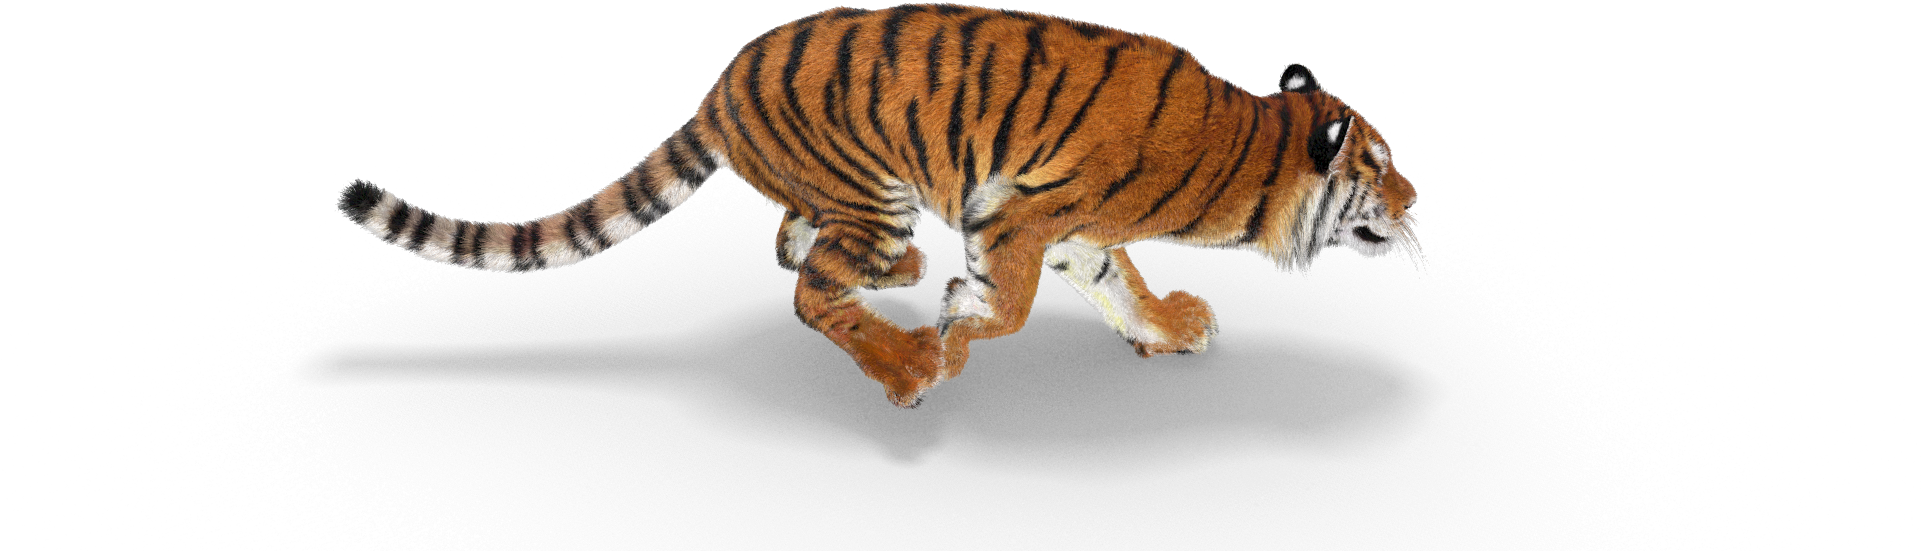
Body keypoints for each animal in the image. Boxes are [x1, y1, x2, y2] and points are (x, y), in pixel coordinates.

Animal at [336, 3, 1420, 409]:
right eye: (1378, 161)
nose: (1417, 197)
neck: (1252, 141)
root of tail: (716, 90)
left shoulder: (1070, 229)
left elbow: (1114, 281)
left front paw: (1164, 325)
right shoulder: (1021, 210)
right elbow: (1014, 301)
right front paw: (960, 324)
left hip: (851, 198)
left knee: (790, 241)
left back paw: (897, 277)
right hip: (872, 188)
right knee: (808, 289)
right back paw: (905, 359)